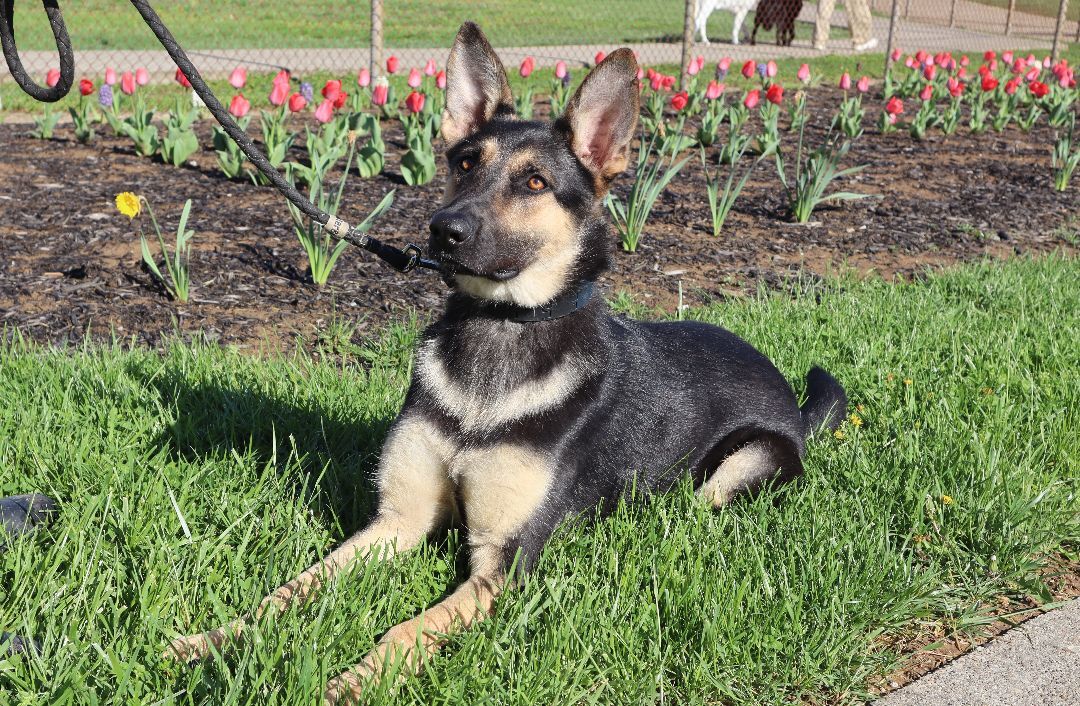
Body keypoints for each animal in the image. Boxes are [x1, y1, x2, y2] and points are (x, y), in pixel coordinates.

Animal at [164, 20, 846, 703]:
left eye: (535, 182)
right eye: (465, 163)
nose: (443, 230)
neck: (500, 332)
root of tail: (793, 403)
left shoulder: (503, 564)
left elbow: (410, 628)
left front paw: (356, 680)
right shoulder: (396, 521)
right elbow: (292, 589)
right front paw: (212, 639)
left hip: (740, 467)